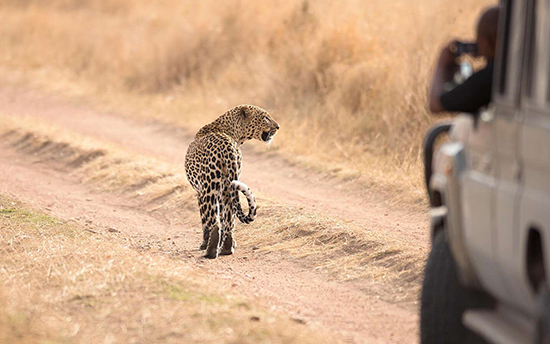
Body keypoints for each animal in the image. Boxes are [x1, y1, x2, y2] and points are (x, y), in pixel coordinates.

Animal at [185, 104, 280, 258]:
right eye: (265, 117)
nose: (278, 127)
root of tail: (228, 145)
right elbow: (224, 219)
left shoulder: (199, 192)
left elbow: (204, 220)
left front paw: (203, 244)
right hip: (228, 188)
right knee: (229, 219)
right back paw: (226, 248)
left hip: (210, 188)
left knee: (214, 222)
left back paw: (210, 252)